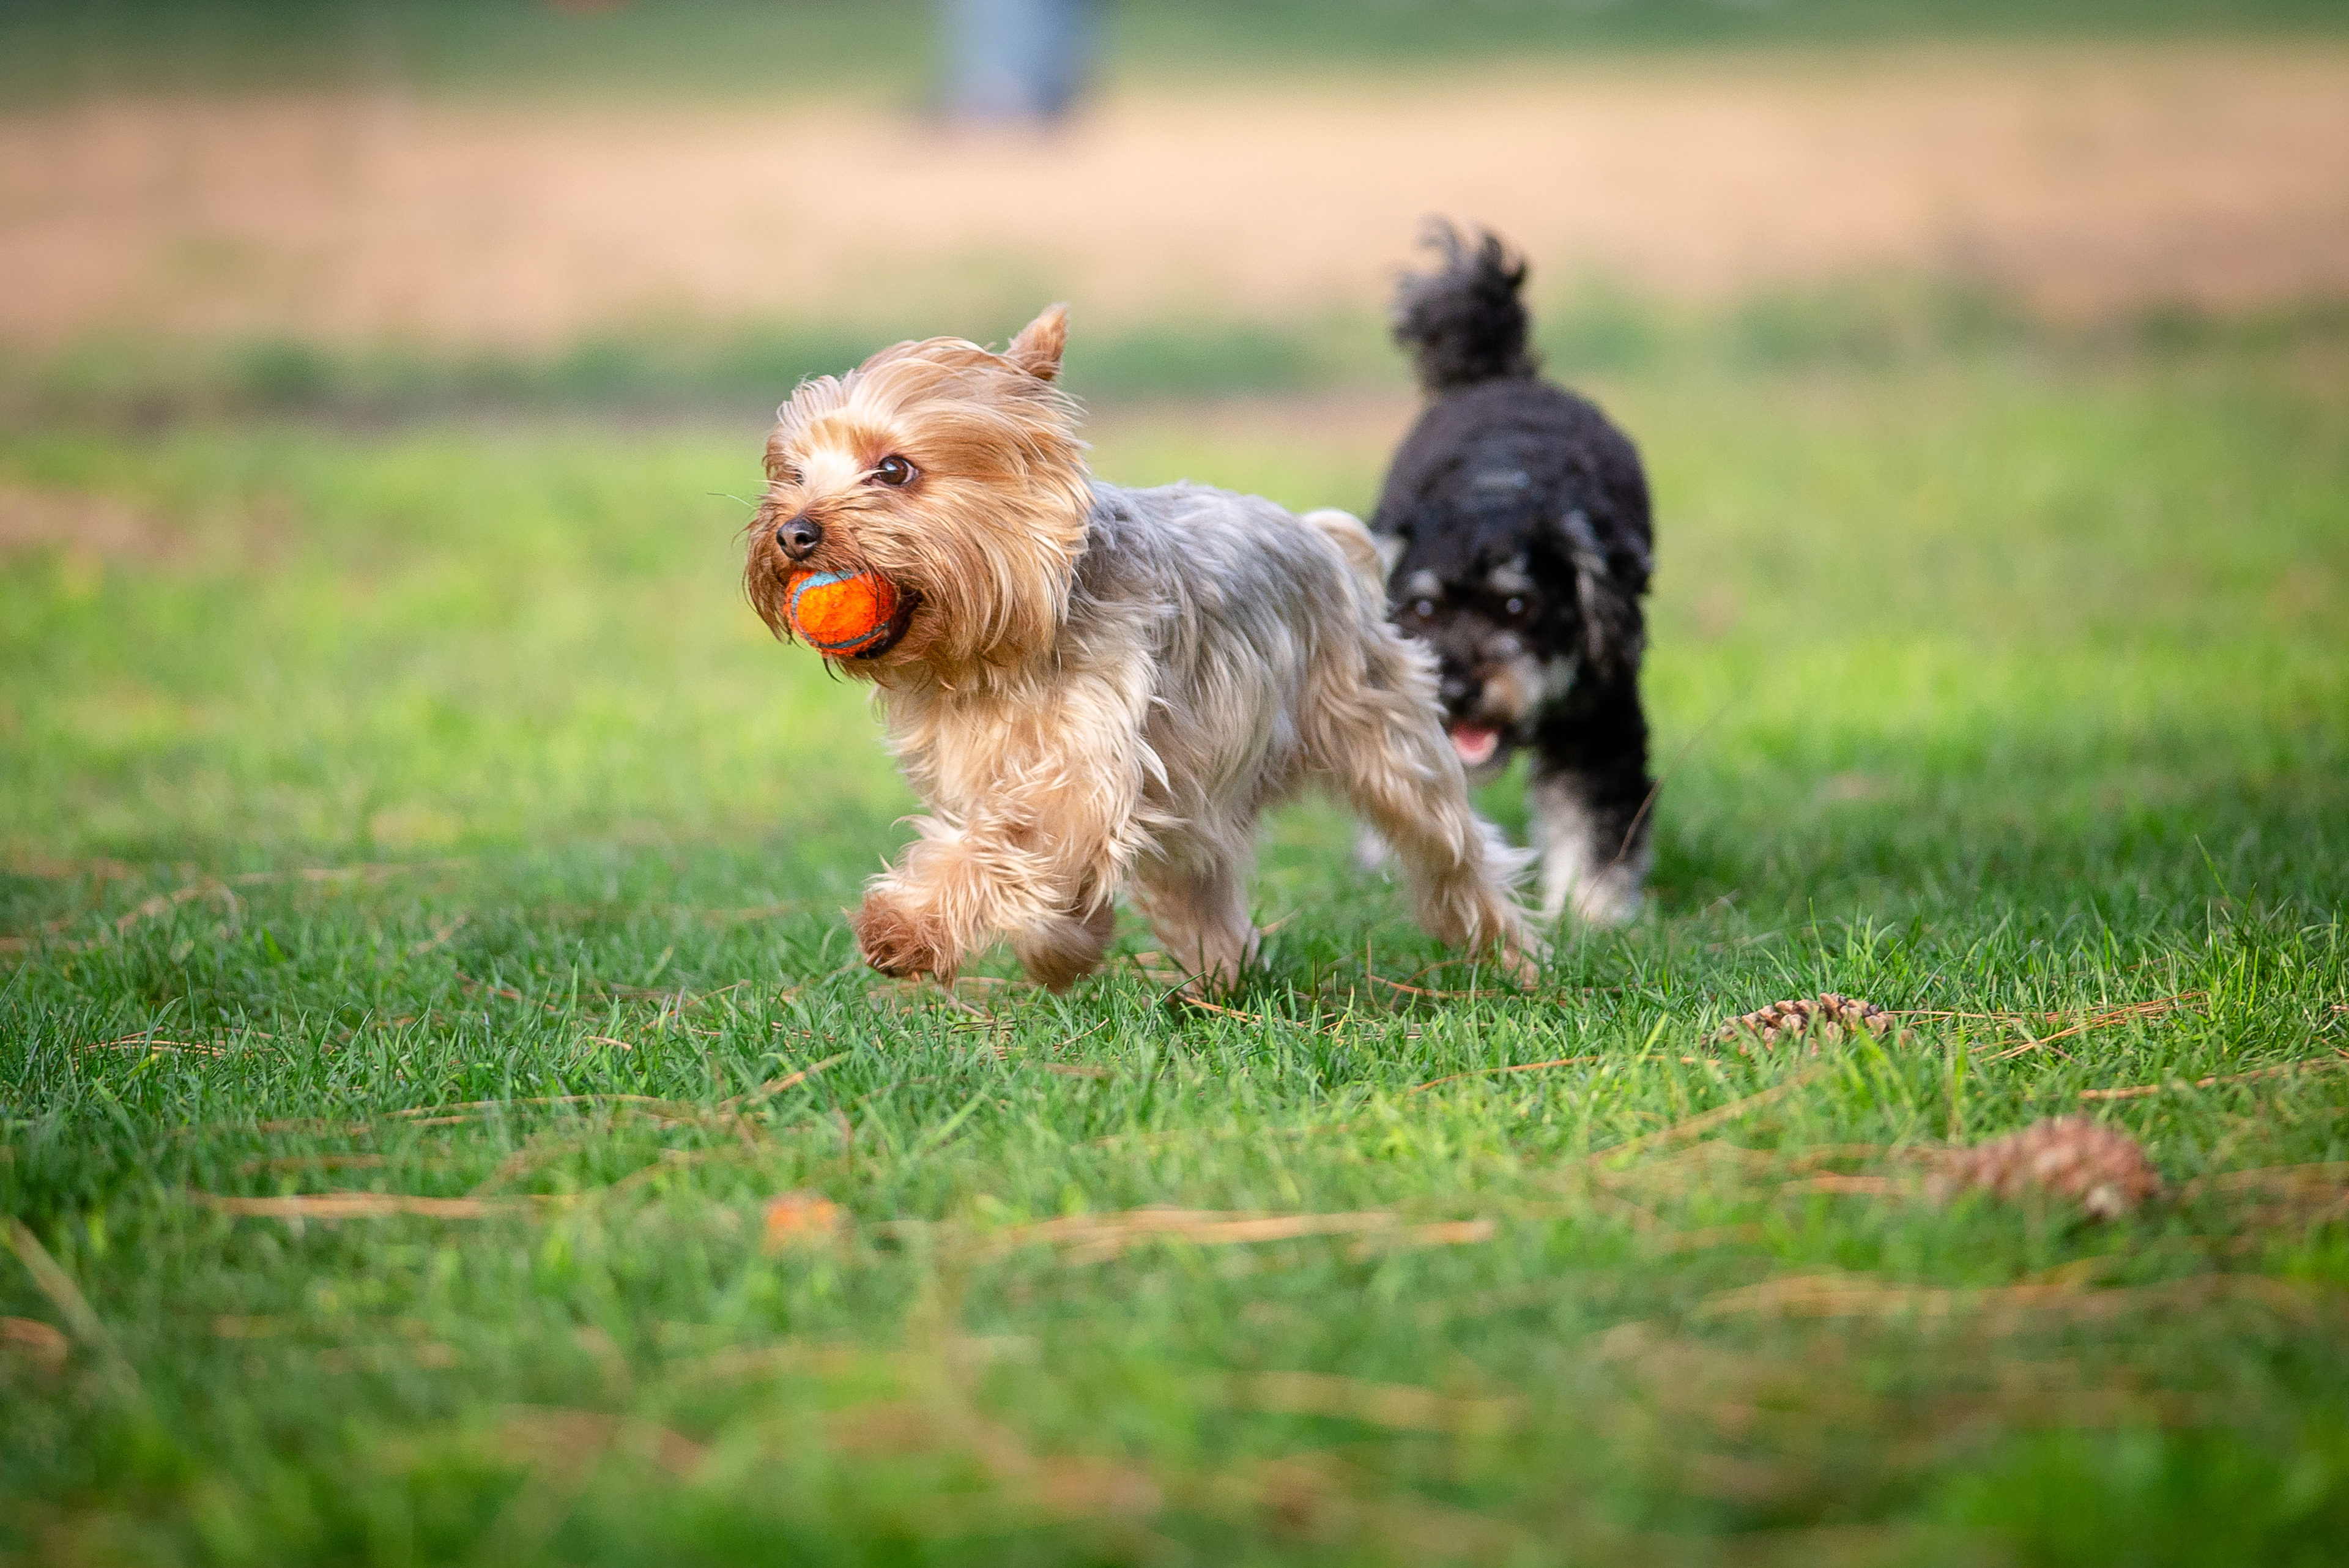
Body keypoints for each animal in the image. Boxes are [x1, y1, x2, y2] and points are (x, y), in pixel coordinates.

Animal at [737, 305, 1541, 992]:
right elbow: (1015, 856)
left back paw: (1516, 961)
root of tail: (1326, 539)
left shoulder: (1085, 764)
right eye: (793, 474)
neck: (995, 654)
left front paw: (906, 927)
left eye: (894, 468)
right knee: (1203, 882)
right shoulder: (981, 766)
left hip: (1384, 735)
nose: (794, 532)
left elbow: (1007, 841)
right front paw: (1064, 949)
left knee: (1450, 849)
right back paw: (1219, 978)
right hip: (1202, 796)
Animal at [1371, 226, 1663, 926]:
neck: (1493, 487)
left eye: (1516, 607)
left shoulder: (1599, 720)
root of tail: (1499, 376)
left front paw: (1590, 914)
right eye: (1422, 610)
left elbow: (1595, 817)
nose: (1458, 690)